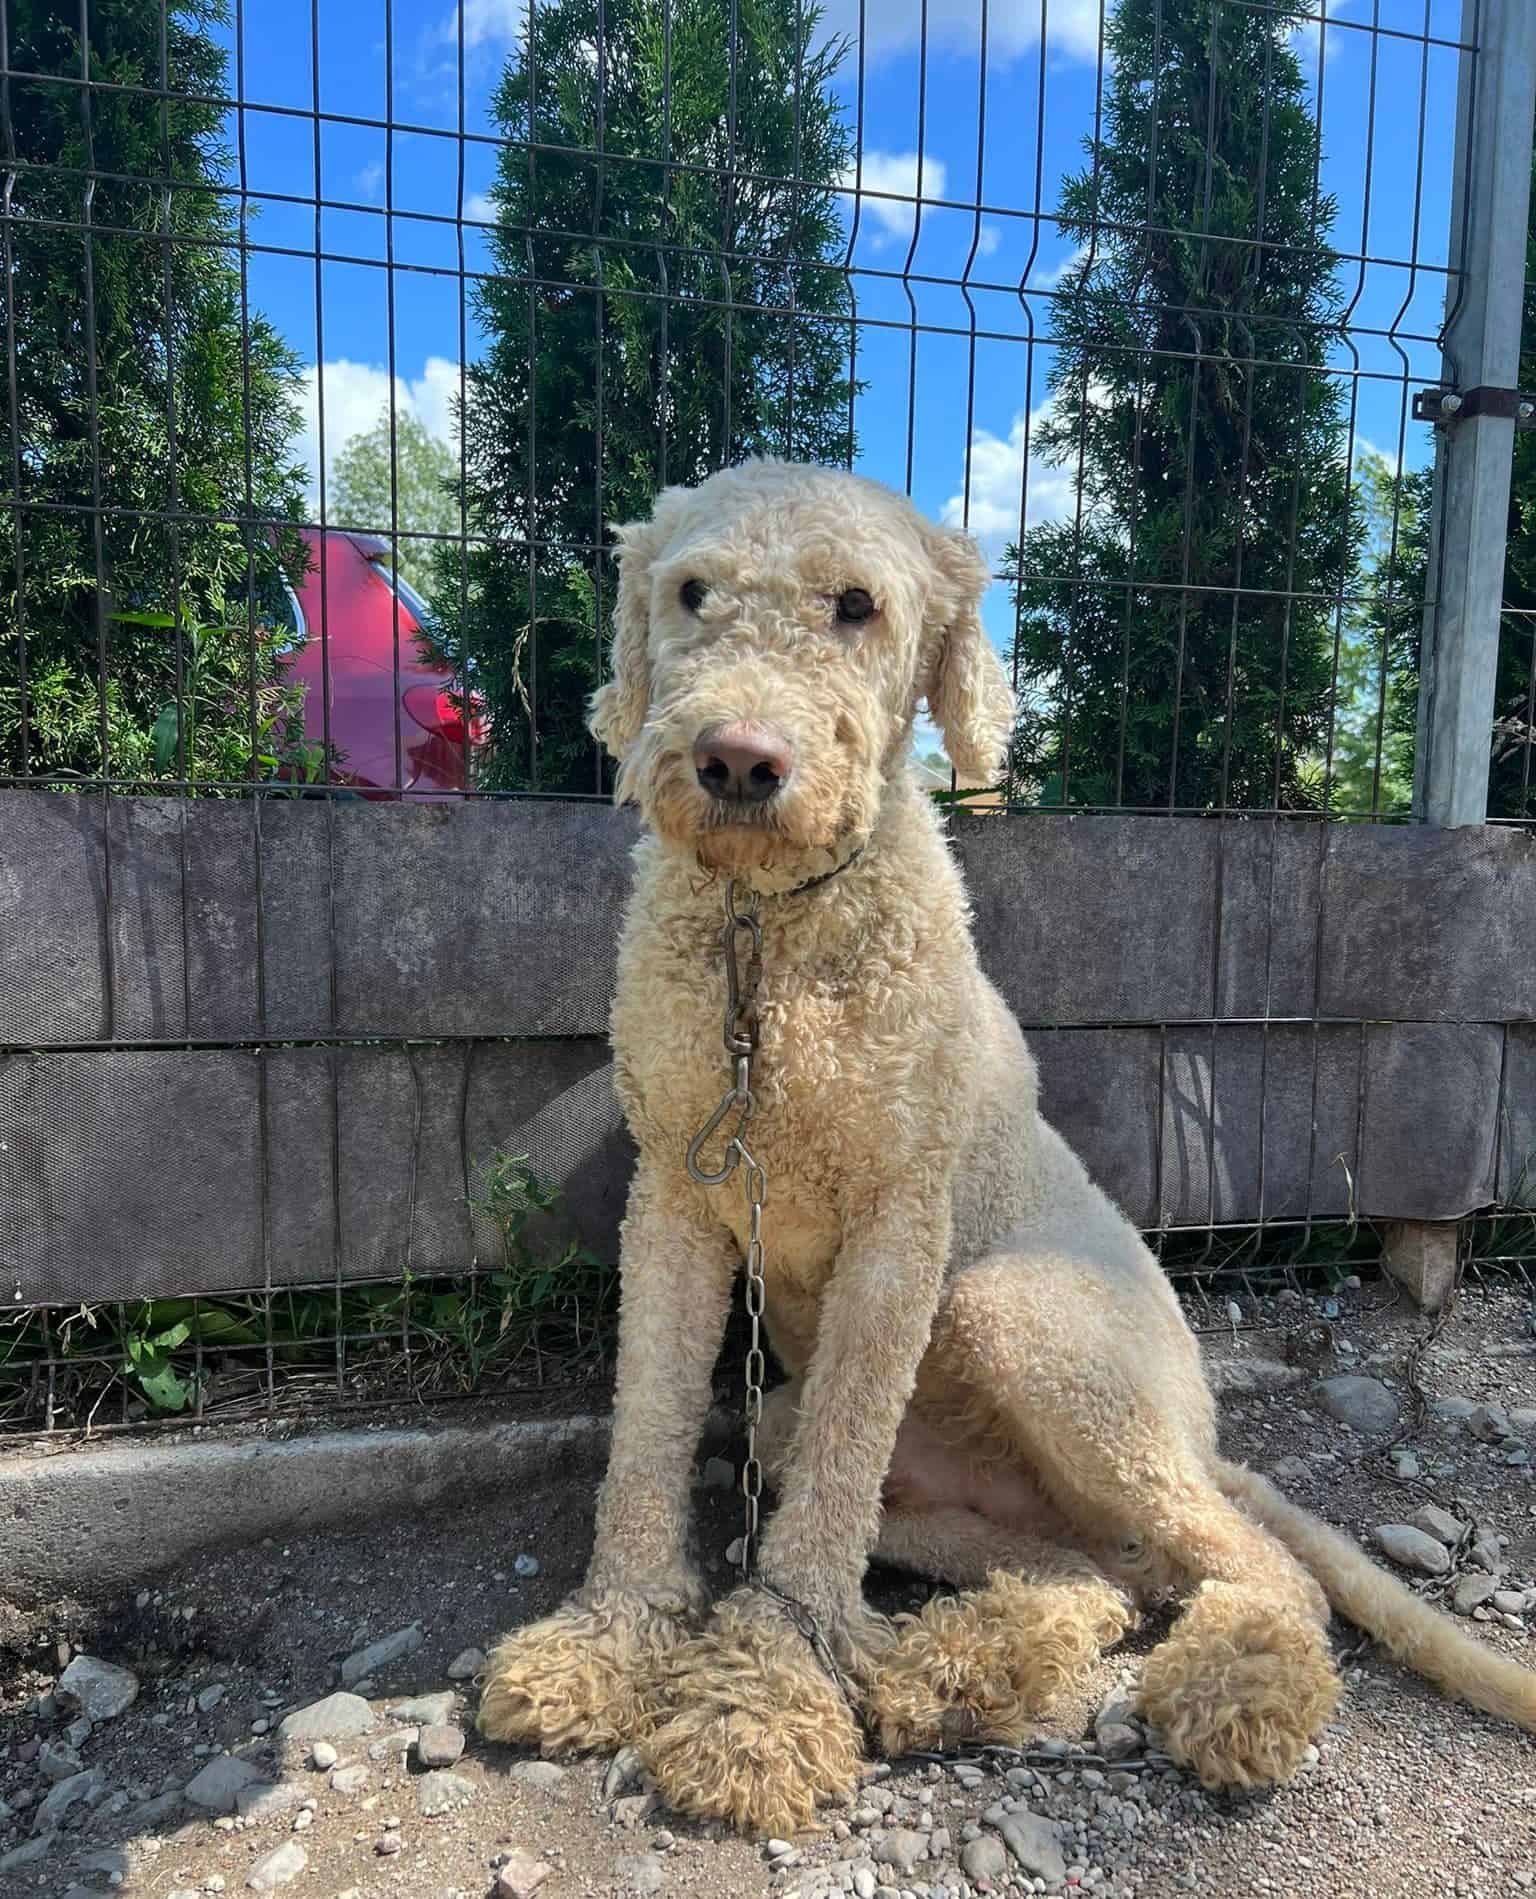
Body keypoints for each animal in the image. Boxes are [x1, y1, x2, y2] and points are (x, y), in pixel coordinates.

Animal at [479, 459, 1536, 1835]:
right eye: (692, 591)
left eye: (858, 605)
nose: (738, 760)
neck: (772, 939)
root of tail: (1203, 1441)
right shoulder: (676, 1197)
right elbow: (647, 1435)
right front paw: (611, 1641)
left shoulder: (900, 1222)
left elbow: (826, 1505)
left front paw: (765, 1696)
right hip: (797, 1427)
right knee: (1111, 1574)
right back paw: (970, 1665)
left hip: (1026, 1317)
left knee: (1253, 1568)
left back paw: (1238, 1689)